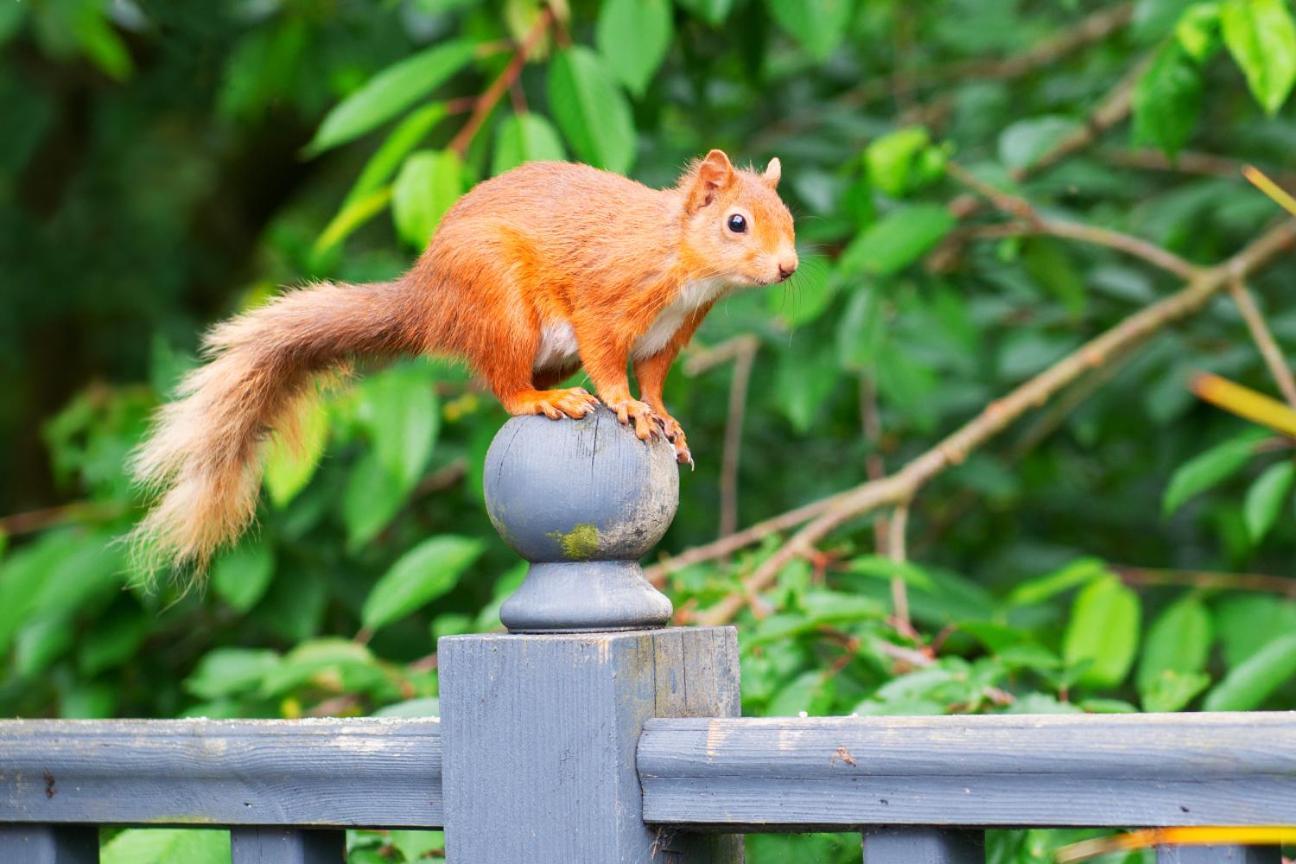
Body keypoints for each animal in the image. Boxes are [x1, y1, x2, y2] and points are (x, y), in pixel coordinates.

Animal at [134, 148, 798, 575]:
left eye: (790, 219)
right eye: (736, 222)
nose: (789, 268)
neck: (681, 258)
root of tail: (427, 300)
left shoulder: (669, 334)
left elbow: (655, 380)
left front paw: (665, 418)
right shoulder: (606, 303)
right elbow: (610, 367)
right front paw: (628, 408)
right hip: (498, 300)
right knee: (505, 386)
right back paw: (545, 401)